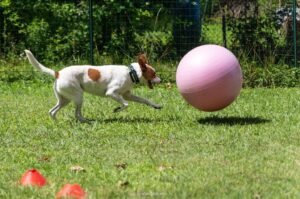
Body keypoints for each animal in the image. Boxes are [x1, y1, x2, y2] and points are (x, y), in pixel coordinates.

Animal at [24, 50, 163, 121]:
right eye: (154, 73)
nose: (161, 80)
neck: (131, 73)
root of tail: (58, 73)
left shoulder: (127, 95)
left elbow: (145, 100)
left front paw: (156, 105)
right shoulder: (112, 93)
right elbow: (126, 104)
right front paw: (117, 109)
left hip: (65, 100)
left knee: (53, 111)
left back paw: (60, 122)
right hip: (78, 96)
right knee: (76, 113)